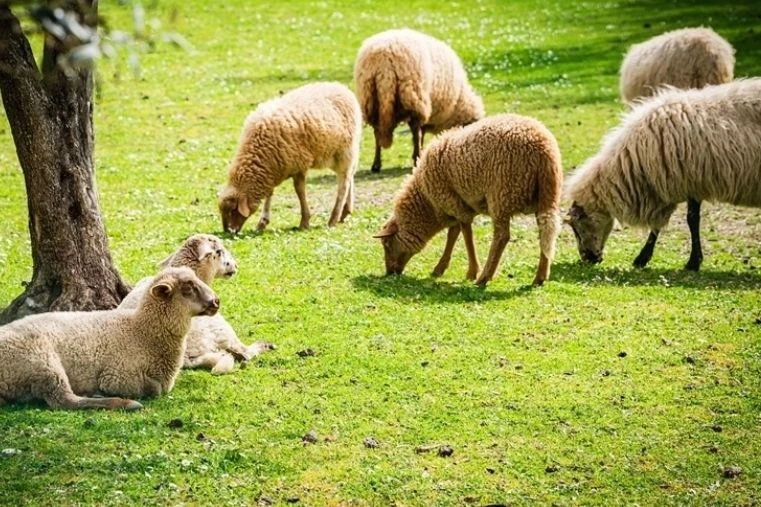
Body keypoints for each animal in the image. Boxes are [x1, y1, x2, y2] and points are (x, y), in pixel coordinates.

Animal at [119, 236, 274, 376]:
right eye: (219, 251)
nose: (235, 266)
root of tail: (189, 357)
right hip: (222, 330)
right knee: (244, 352)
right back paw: (264, 346)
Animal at [217, 82, 362, 235]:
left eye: (232, 211)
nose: (228, 231)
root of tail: (341, 87)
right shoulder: (272, 169)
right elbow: (270, 193)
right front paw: (262, 222)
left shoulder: (298, 164)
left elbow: (299, 191)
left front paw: (304, 221)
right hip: (334, 155)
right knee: (350, 175)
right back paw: (345, 212)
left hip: (344, 151)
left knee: (343, 183)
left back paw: (333, 219)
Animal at [354, 29, 484, 173]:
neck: (456, 104)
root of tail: (384, 63)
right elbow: (421, 132)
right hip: (414, 96)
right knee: (415, 130)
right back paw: (416, 157)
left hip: (369, 98)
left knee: (377, 133)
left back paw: (376, 164)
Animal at [372, 115, 560, 288]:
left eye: (386, 244)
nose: (389, 272)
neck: (426, 201)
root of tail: (543, 148)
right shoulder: (456, 205)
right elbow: (453, 234)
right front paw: (439, 268)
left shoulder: (454, 204)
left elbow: (466, 235)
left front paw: (471, 271)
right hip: (546, 197)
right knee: (546, 231)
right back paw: (540, 277)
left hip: (501, 195)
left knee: (502, 237)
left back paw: (484, 277)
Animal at [560, 78, 760, 272]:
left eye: (577, 227)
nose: (588, 259)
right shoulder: (668, 187)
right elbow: (659, 224)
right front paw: (644, 258)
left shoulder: (688, 181)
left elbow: (691, 220)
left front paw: (691, 262)